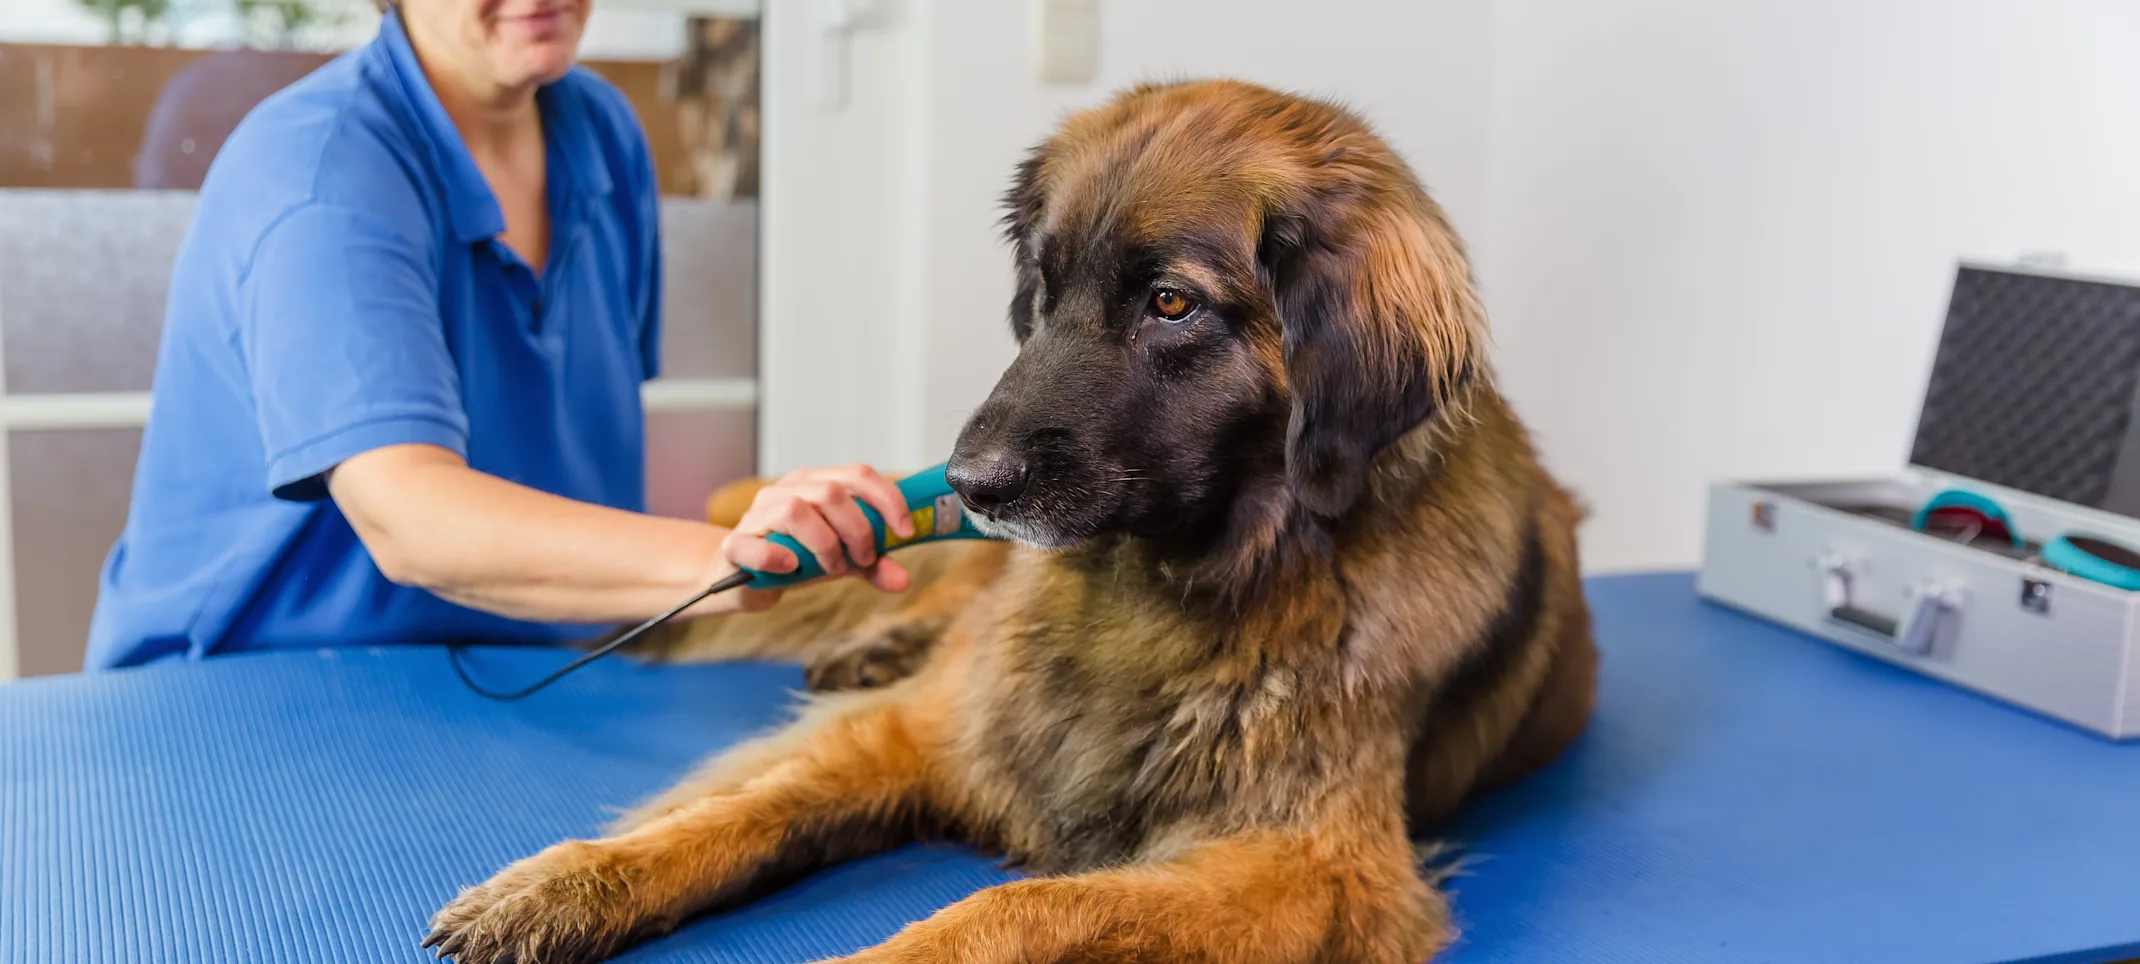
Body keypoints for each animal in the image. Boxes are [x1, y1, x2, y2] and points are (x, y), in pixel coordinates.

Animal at [421, 80, 1592, 964]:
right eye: (1043, 283)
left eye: (1171, 304)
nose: (969, 483)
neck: (1164, 587)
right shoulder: (928, 730)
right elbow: (738, 809)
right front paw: (562, 885)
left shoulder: (1313, 869)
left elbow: (1025, 905)